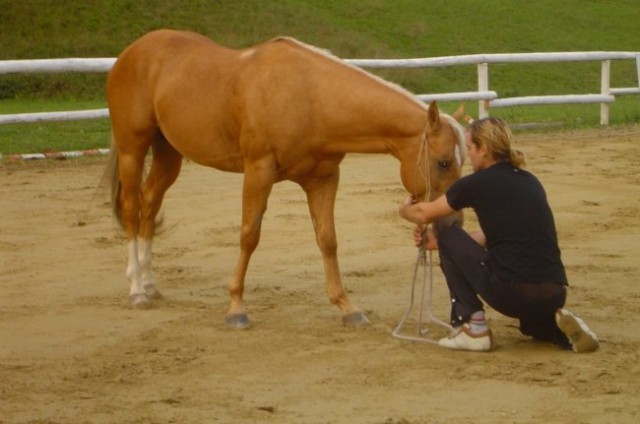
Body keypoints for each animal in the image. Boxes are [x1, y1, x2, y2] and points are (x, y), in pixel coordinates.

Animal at [105, 29, 464, 328]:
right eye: (443, 162)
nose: (453, 222)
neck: (311, 97)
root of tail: (131, 52)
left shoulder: (323, 179)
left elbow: (328, 239)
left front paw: (347, 307)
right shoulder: (258, 172)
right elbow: (249, 235)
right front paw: (236, 307)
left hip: (169, 154)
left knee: (150, 202)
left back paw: (150, 284)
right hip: (133, 149)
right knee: (131, 207)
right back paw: (137, 289)